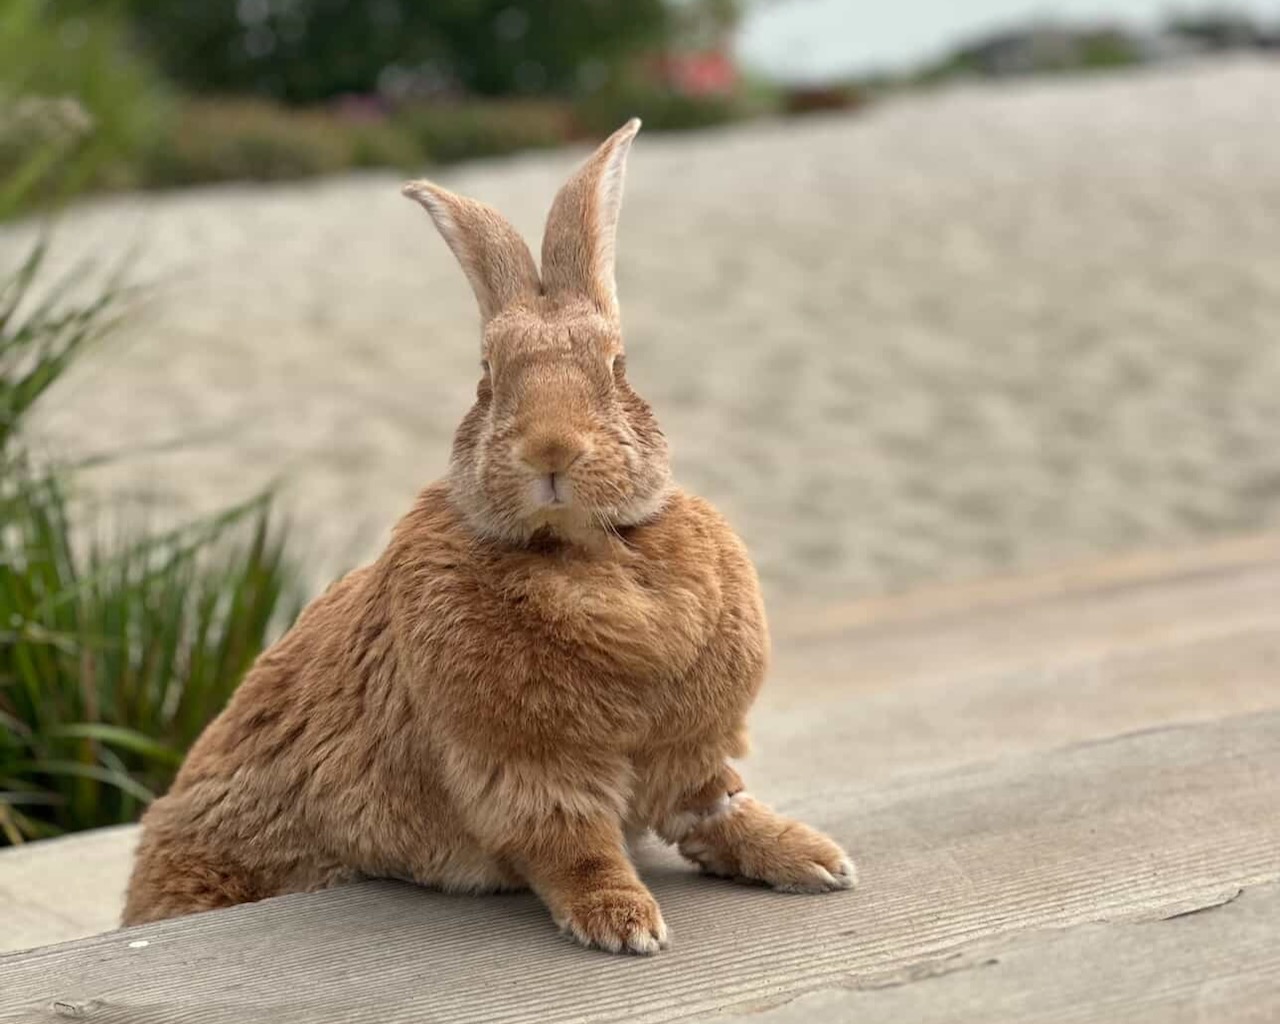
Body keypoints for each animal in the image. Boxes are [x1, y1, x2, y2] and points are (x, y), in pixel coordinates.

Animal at [122, 119, 856, 954]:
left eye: (618, 367)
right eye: (487, 377)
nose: (552, 450)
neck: (588, 551)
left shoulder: (689, 749)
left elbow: (719, 811)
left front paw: (816, 861)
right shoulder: (527, 768)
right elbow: (578, 849)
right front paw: (625, 925)